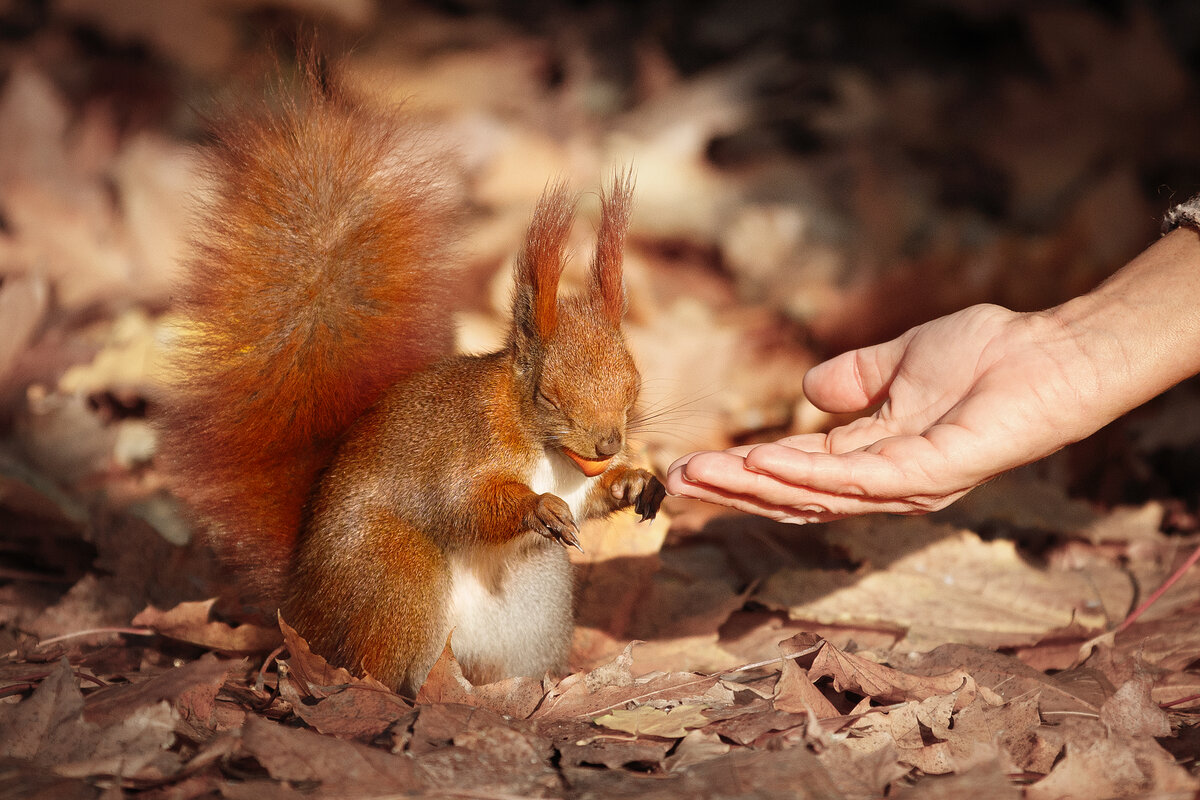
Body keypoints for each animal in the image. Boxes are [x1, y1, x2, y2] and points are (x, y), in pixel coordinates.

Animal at [158, 65, 667, 695]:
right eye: (549, 396)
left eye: (634, 387)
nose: (607, 444)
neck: (549, 453)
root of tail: (301, 604)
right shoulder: (467, 451)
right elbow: (464, 503)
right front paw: (536, 508)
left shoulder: (578, 483)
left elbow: (593, 498)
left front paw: (635, 482)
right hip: (397, 572)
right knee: (375, 658)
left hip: (534, 606)